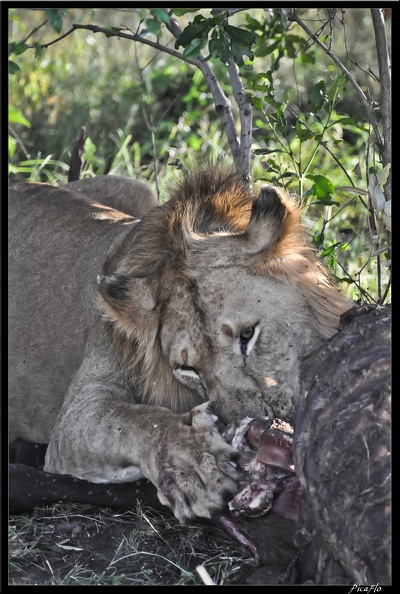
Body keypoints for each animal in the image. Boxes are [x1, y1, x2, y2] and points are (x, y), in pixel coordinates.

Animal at [8, 165, 354, 520]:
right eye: (187, 369)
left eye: (247, 335)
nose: (250, 435)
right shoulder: (76, 414)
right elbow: (135, 419)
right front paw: (192, 462)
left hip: (134, 186)